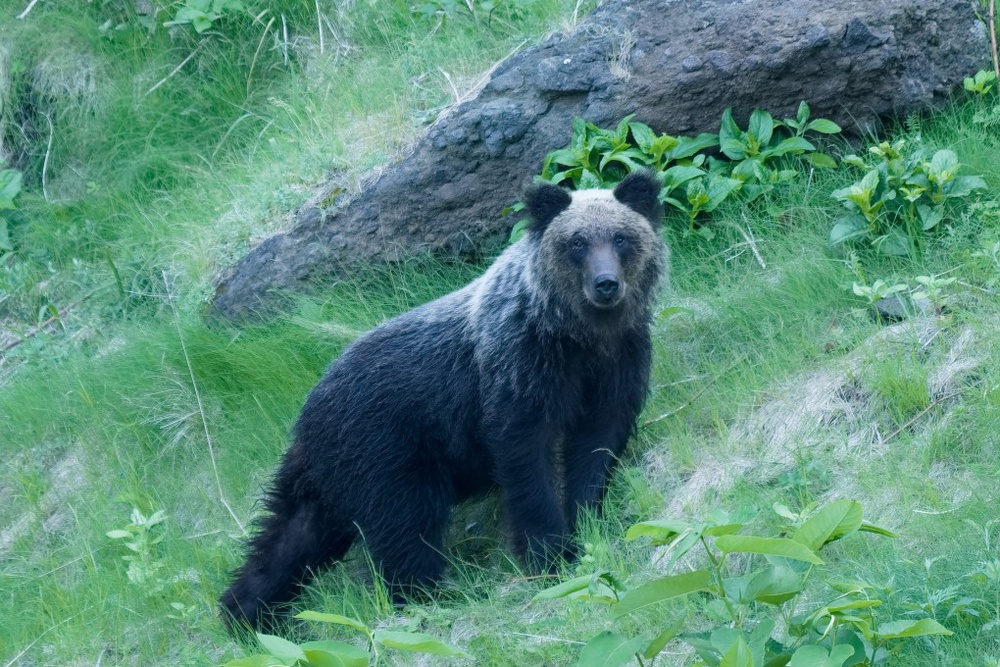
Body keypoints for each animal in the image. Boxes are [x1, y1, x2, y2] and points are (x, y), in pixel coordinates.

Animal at [220, 170, 667, 632]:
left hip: (331, 476)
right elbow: (527, 461)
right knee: (404, 528)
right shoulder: (519, 371)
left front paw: (587, 526)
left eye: (621, 237)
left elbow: (596, 447)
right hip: (387, 452)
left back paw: (248, 614)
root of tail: (306, 411)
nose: (606, 284)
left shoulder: (617, 363)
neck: (576, 337)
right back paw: (427, 595)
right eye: (576, 241)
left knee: (291, 535)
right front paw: (548, 553)